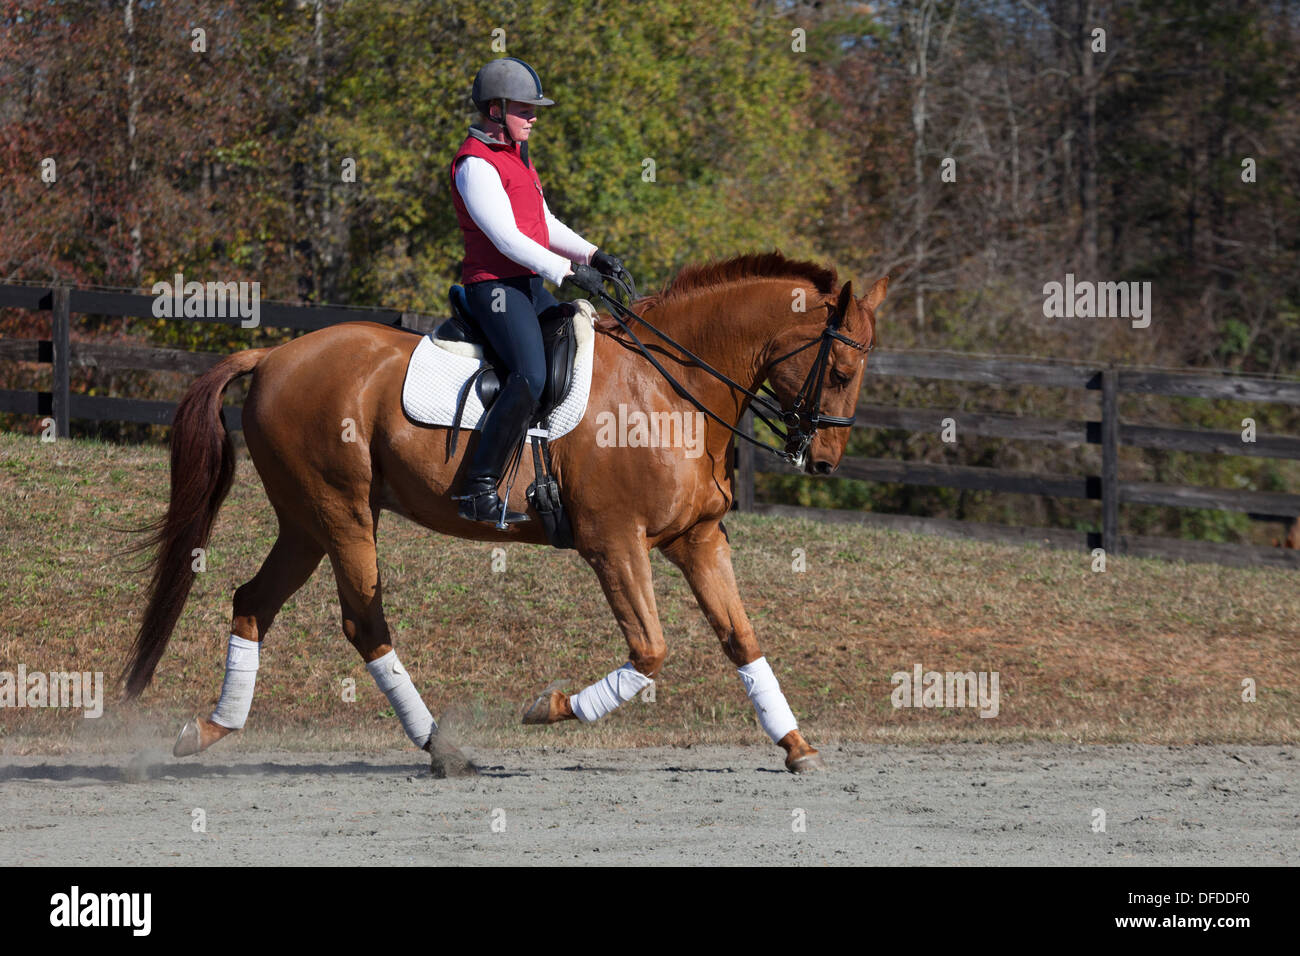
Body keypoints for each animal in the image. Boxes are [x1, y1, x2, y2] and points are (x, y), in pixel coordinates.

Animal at [124, 252, 883, 780]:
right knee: (363, 622)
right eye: (842, 370)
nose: (822, 460)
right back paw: (442, 748)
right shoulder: (614, 543)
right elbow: (650, 651)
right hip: (341, 513)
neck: (670, 389)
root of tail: (276, 353)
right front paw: (548, 708)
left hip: (307, 523)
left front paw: (797, 747)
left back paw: (211, 729)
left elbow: (742, 640)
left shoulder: (697, 541)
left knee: (253, 601)